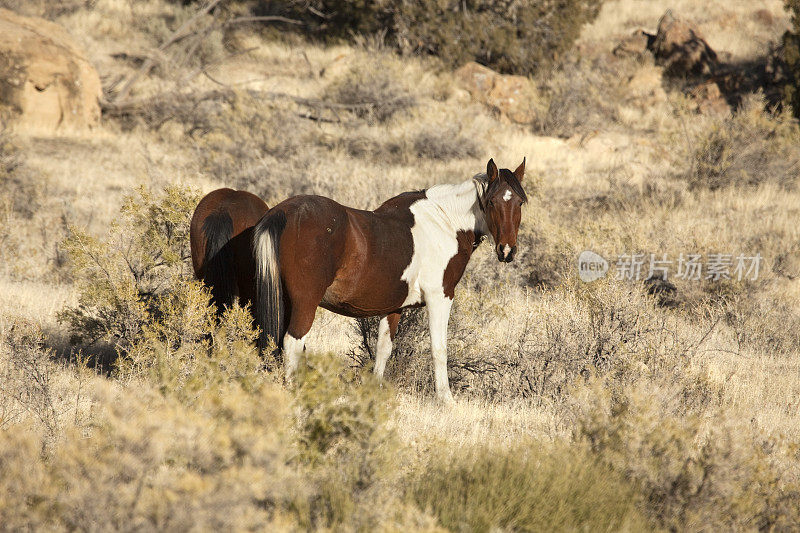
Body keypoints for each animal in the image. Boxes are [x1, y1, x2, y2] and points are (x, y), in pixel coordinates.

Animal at [255, 160, 524, 402]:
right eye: (492, 202)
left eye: (520, 202)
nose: (507, 250)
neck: (445, 222)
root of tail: (282, 212)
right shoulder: (440, 297)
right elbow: (439, 349)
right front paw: (446, 400)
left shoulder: (393, 306)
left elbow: (383, 349)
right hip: (305, 303)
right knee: (292, 343)